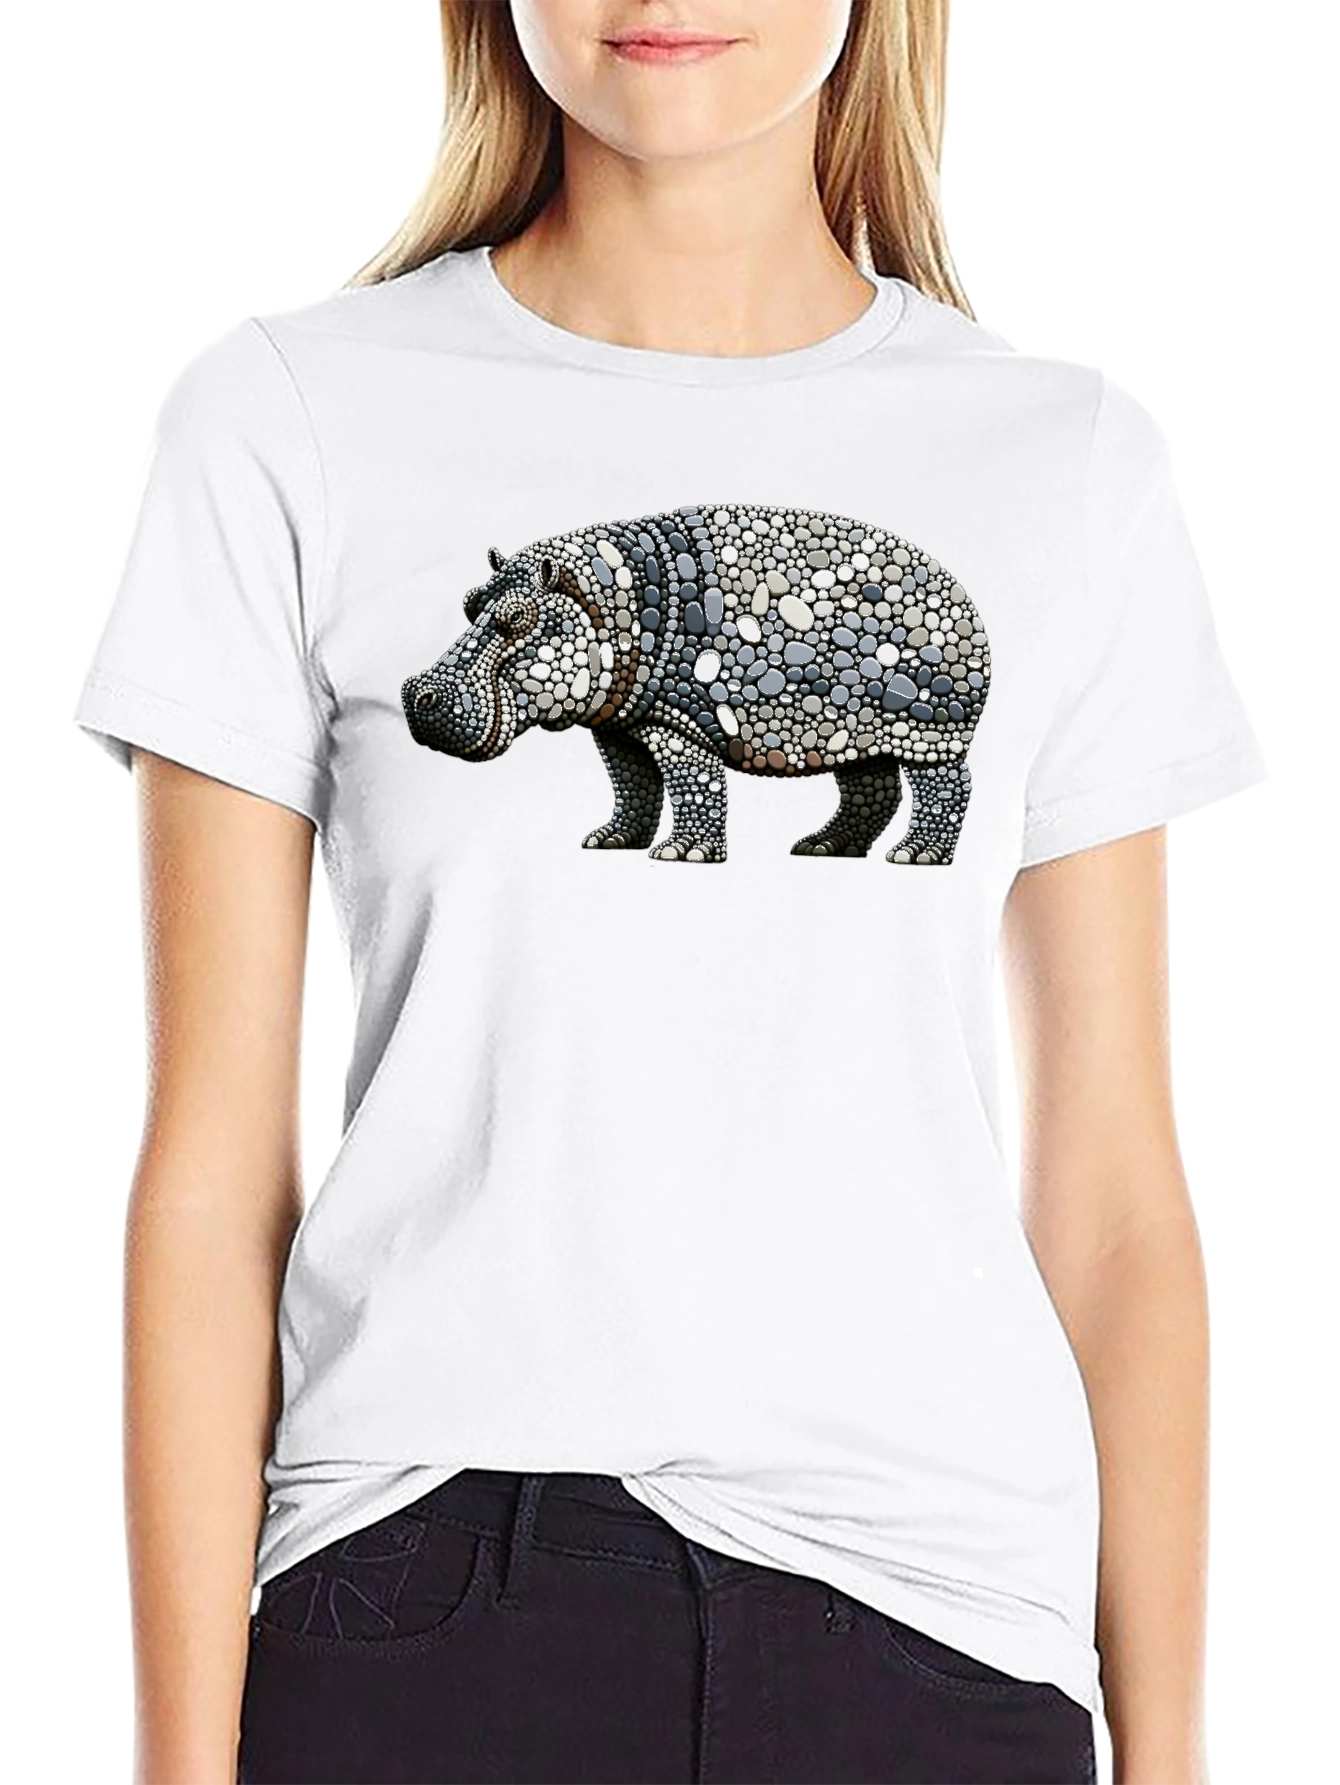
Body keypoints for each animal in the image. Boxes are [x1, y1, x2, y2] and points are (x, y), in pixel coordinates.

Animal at [401, 502, 990, 864]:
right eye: (469, 603)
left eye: (518, 618)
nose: (416, 695)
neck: (602, 602)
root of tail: (965, 596)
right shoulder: (618, 718)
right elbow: (632, 782)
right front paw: (610, 841)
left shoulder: (675, 719)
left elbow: (692, 782)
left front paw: (681, 855)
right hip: (855, 726)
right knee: (871, 785)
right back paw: (823, 848)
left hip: (929, 730)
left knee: (945, 785)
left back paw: (915, 856)